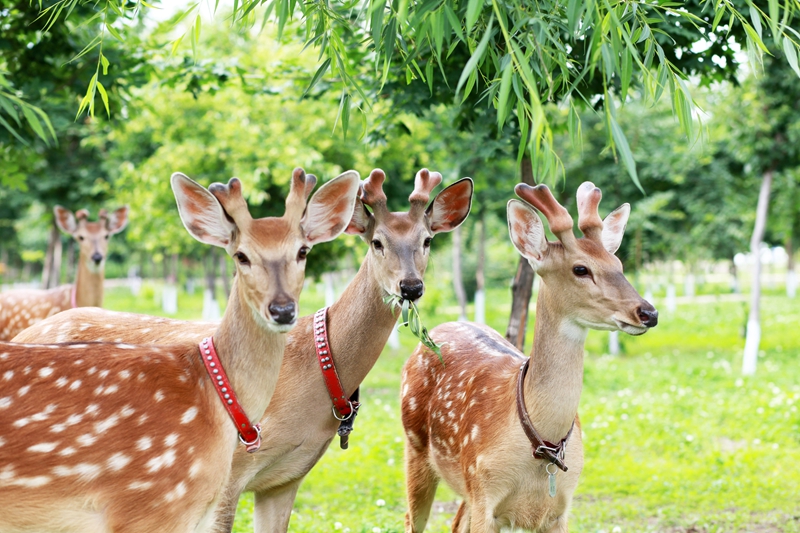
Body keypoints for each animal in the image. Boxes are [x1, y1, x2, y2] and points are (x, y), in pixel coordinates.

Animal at [15, 168, 474, 533]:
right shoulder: (228, 475)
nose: (411, 286)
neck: (315, 375)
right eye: (377, 242)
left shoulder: (286, 478)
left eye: (428, 240)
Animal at [400, 182, 659, 533]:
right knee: (412, 518)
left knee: (455, 522)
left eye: (618, 265)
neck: (542, 445)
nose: (648, 313)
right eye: (581, 269)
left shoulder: (559, 507)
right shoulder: (484, 488)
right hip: (416, 448)